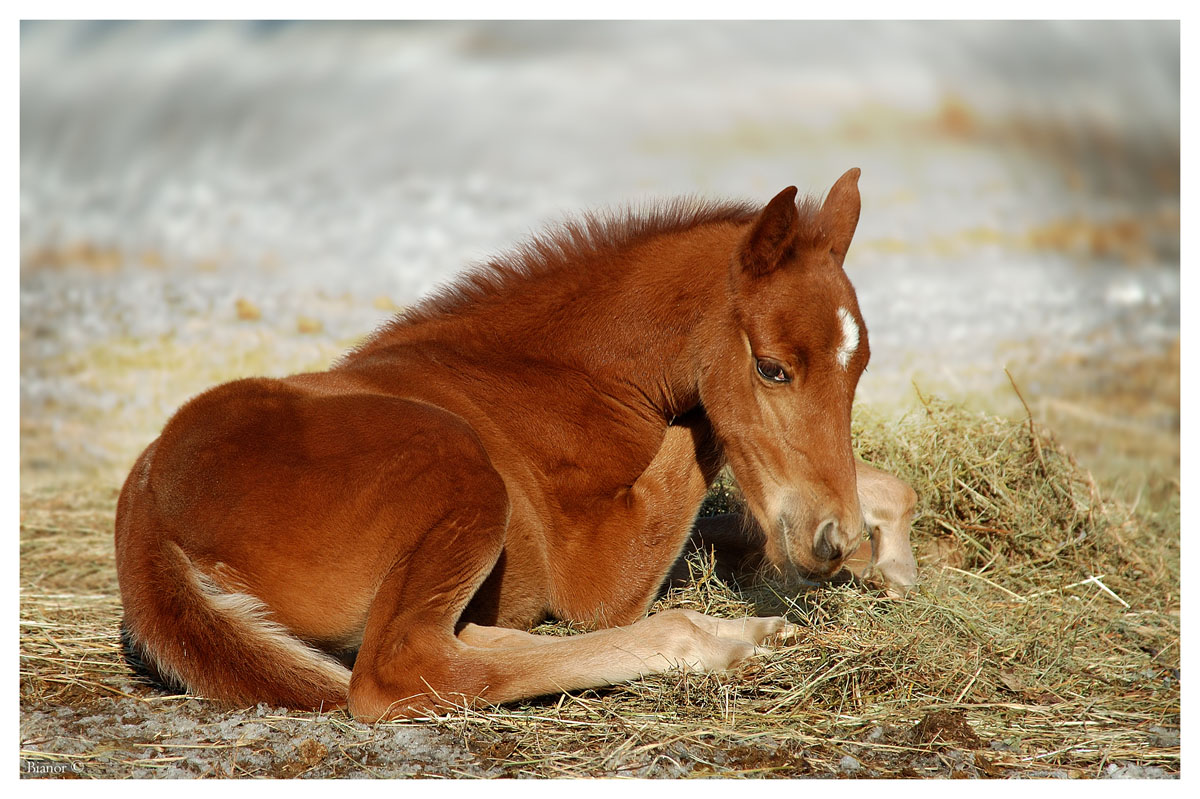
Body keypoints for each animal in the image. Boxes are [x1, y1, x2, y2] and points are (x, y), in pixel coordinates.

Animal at [112, 167, 916, 715]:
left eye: (859, 368)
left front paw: (887, 561)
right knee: (403, 671)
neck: (563, 378)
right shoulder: (600, 577)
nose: (827, 541)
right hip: (457, 466)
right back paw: (721, 638)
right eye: (772, 368)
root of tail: (146, 515)